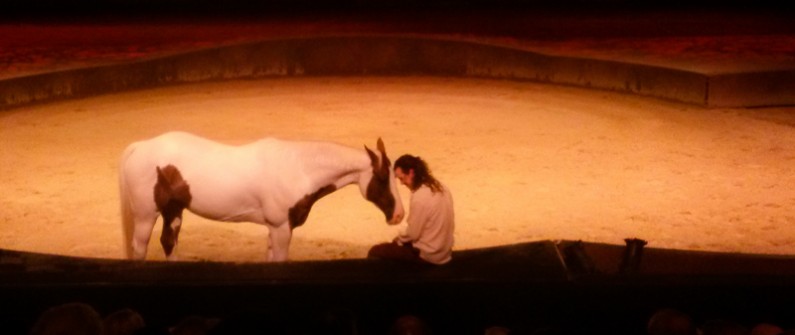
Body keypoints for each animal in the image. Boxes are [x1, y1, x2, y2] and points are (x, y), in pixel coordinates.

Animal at [119, 132, 404, 262]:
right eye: (382, 178)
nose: (399, 215)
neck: (298, 169)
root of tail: (139, 147)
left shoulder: (274, 229)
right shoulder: (281, 228)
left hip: (173, 211)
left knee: (169, 242)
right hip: (146, 216)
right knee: (140, 248)